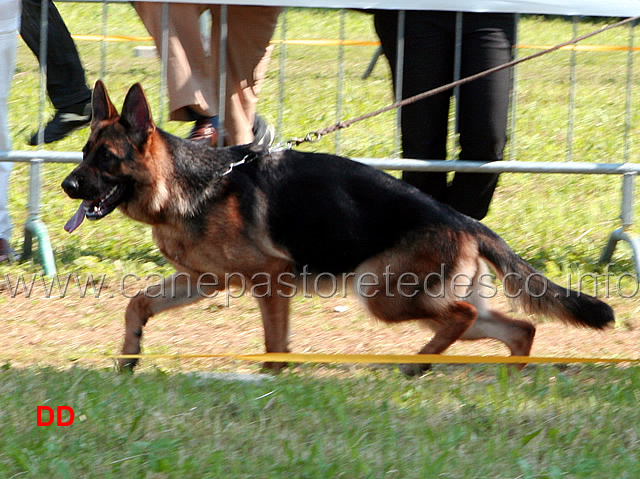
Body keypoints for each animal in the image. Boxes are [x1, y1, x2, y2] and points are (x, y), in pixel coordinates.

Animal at [62, 82, 612, 376]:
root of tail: (465, 220)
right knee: (519, 327)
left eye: (106, 158)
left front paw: (272, 377)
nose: (67, 185)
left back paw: (418, 364)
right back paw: (505, 375)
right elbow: (138, 303)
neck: (191, 182)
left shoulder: (270, 279)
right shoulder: (204, 281)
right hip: (424, 298)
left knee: (462, 316)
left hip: (383, 294)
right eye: (84, 152)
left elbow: (275, 341)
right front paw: (129, 355)